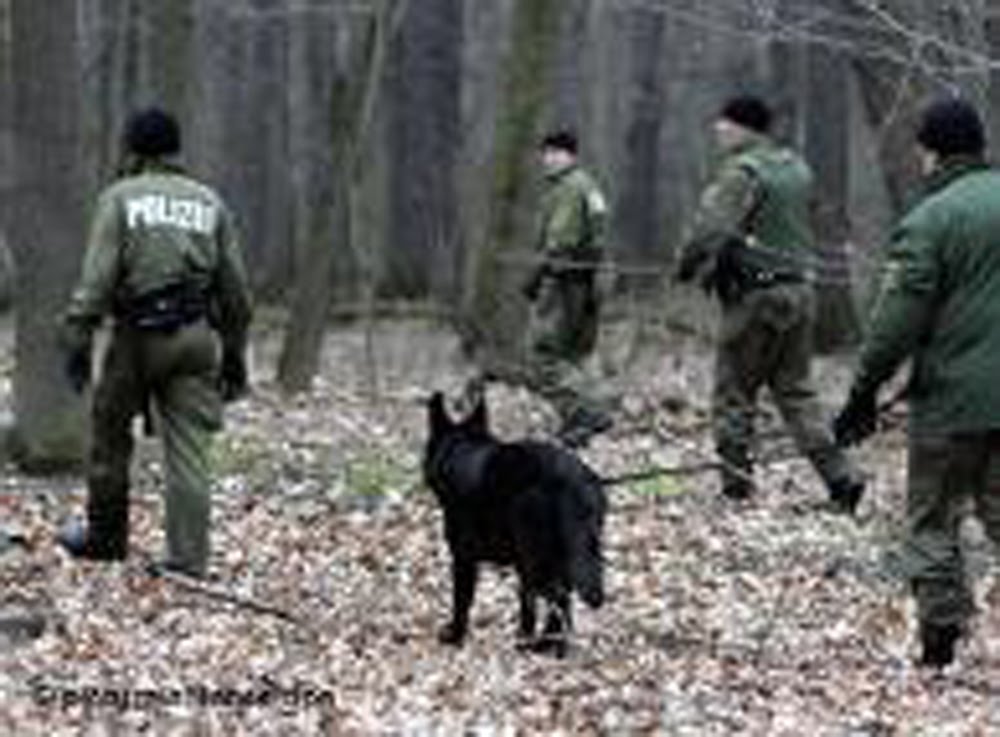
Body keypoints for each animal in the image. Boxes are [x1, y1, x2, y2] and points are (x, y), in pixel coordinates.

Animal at [423, 391, 606, 656]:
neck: (462, 452)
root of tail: (574, 482)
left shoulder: (463, 558)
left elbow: (462, 600)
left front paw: (456, 635)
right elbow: (526, 605)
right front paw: (525, 637)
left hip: (536, 558)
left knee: (558, 596)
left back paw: (544, 645)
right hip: (567, 555)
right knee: (563, 598)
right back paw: (552, 644)